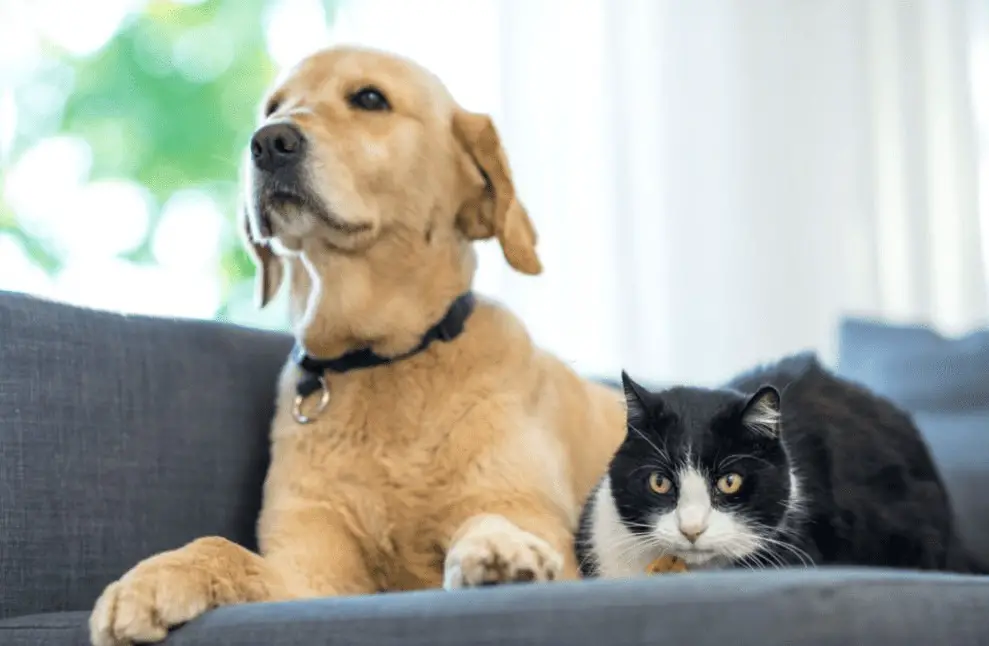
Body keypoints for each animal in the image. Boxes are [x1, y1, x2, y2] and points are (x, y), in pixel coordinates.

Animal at [87, 45, 624, 646]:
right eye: (273, 106)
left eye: (369, 98)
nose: (269, 142)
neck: (380, 362)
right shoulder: (311, 571)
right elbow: (221, 547)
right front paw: (152, 578)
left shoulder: (526, 514)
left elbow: (490, 521)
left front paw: (499, 548)